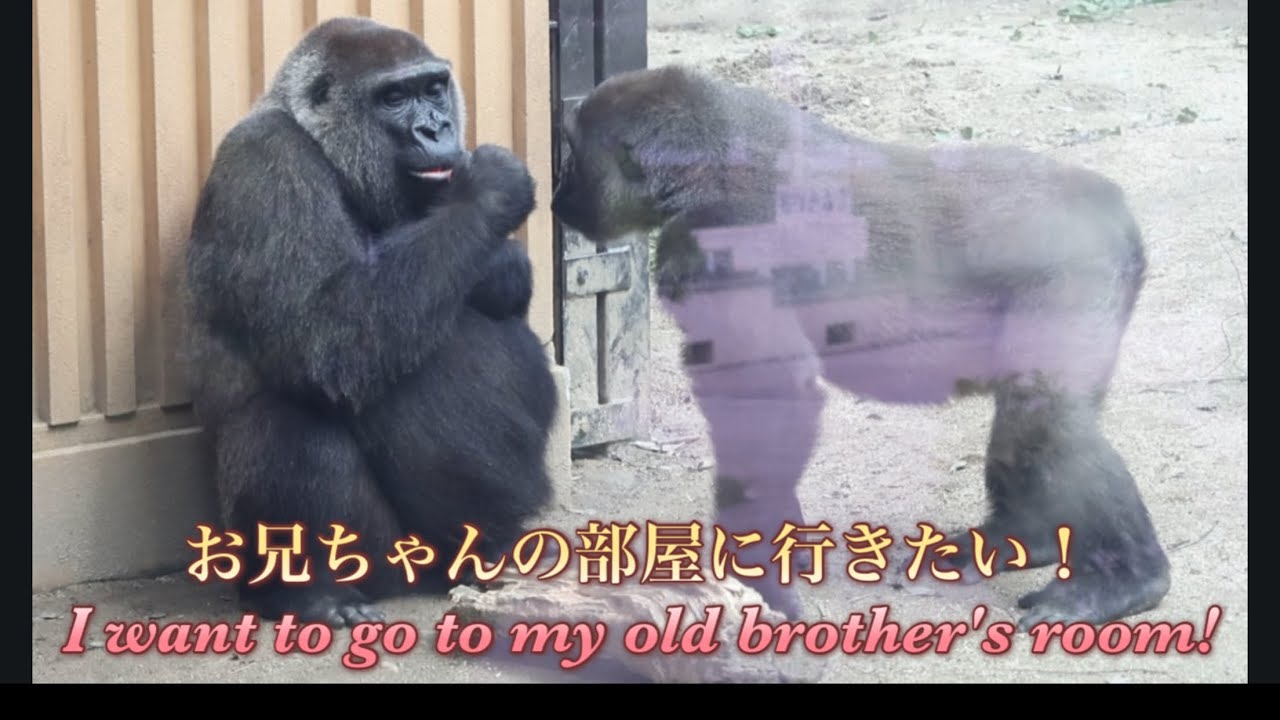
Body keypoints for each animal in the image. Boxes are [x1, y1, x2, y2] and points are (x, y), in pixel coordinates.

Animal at [181, 17, 558, 628]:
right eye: (394, 98)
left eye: (433, 89)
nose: (436, 127)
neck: (324, 147)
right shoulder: (264, 163)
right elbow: (328, 338)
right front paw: (488, 191)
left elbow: (506, 285)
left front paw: (497, 259)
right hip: (384, 558)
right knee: (286, 419)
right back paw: (309, 590)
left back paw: (495, 553)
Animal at [550, 65, 1168, 631]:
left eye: (574, 156)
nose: (559, 196)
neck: (707, 159)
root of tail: (1109, 203)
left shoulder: (716, 247)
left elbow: (774, 401)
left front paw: (759, 566)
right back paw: (1024, 537)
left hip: (1078, 268)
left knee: (1044, 414)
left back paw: (1125, 581)